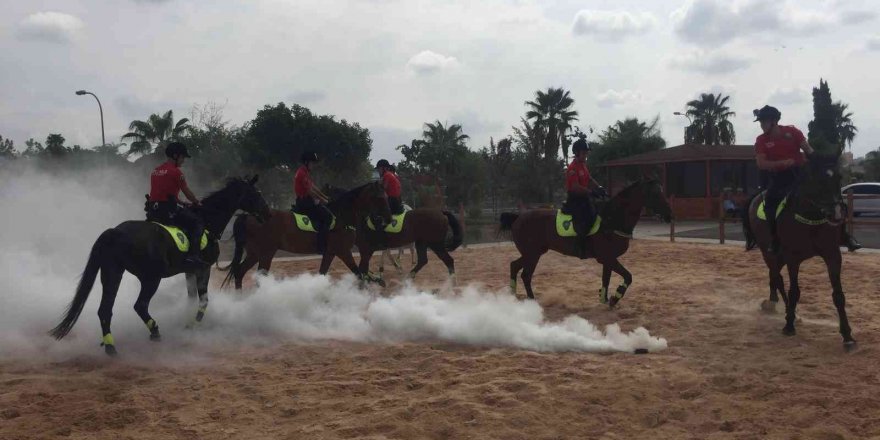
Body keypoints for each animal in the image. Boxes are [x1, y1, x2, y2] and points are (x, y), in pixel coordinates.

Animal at [49, 175, 270, 354]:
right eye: (257, 193)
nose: (267, 212)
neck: (207, 221)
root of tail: (115, 231)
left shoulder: (189, 271)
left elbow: (191, 298)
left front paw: (186, 322)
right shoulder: (202, 268)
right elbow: (203, 300)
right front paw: (192, 325)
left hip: (112, 274)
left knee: (105, 310)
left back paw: (110, 346)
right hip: (151, 278)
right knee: (139, 305)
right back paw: (154, 331)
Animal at [222, 181, 390, 288]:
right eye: (380, 198)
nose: (387, 219)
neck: (341, 217)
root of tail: (248, 216)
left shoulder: (330, 253)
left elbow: (322, 274)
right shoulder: (343, 251)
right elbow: (359, 274)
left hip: (255, 253)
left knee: (239, 273)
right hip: (266, 254)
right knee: (258, 279)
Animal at [498, 179, 672, 306]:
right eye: (655, 194)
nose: (669, 215)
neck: (611, 220)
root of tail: (518, 217)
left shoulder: (608, 260)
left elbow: (606, 279)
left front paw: (605, 299)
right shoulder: (608, 258)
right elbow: (628, 277)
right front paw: (615, 297)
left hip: (533, 253)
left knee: (514, 266)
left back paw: (513, 296)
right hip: (532, 254)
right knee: (526, 275)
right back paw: (531, 301)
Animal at [740, 153, 856, 348]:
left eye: (839, 177)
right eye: (816, 179)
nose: (836, 213)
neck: (811, 217)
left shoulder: (832, 255)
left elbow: (839, 296)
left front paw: (847, 336)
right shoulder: (793, 258)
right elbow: (794, 292)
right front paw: (789, 326)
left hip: (779, 257)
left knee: (774, 277)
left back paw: (775, 304)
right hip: (769, 253)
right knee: (778, 279)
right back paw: (788, 312)